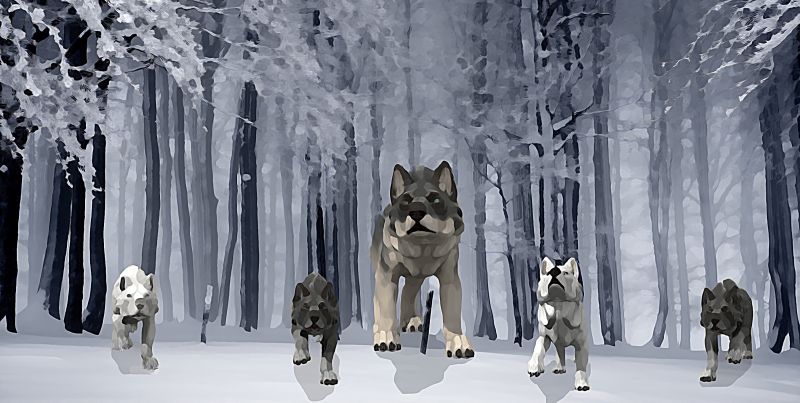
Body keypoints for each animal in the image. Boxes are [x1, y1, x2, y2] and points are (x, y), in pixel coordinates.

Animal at [370, 161, 472, 358]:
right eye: (405, 202)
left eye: (436, 200)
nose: (416, 211)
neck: (422, 248)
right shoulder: (387, 275)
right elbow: (386, 308)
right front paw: (386, 337)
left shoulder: (449, 279)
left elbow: (452, 314)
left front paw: (458, 342)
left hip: (416, 278)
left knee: (408, 292)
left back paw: (411, 321)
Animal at [528, 257, 590, 391]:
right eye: (548, 273)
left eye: (566, 273)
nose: (554, 271)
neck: (558, 307)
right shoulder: (544, 336)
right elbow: (538, 350)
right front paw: (534, 367)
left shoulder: (581, 344)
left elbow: (581, 366)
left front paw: (582, 384)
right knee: (559, 351)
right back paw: (558, 368)